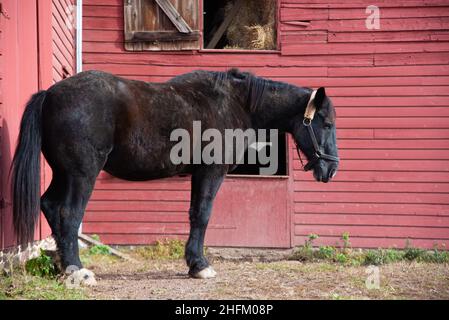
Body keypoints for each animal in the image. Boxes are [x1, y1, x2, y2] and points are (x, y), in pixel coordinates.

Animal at [10, 69, 338, 280]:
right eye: (326, 123)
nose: (331, 167)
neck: (235, 103)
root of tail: (50, 94)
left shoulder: (200, 174)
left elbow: (194, 214)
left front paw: (194, 264)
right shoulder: (211, 172)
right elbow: (202, 215)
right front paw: (200, 266)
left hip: (63, 173)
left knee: (50, 206)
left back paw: (62, 266)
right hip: (81, 175)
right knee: (68, 213)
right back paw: (76, 270)